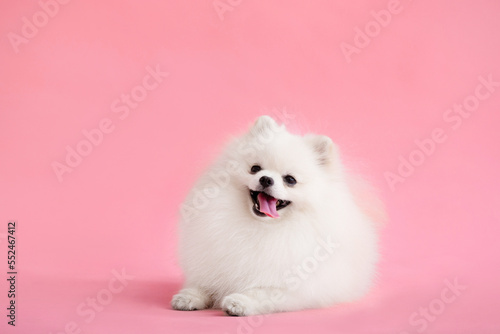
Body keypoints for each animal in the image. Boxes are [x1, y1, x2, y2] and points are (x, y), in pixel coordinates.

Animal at [172, 115, 382, 316]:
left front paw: (240, 301)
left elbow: (262, 292)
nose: (266, 179)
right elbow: (203, 283)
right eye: (255, 168)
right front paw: (188, 297)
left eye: (290, 180)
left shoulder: (293, 288)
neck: (261, 226)